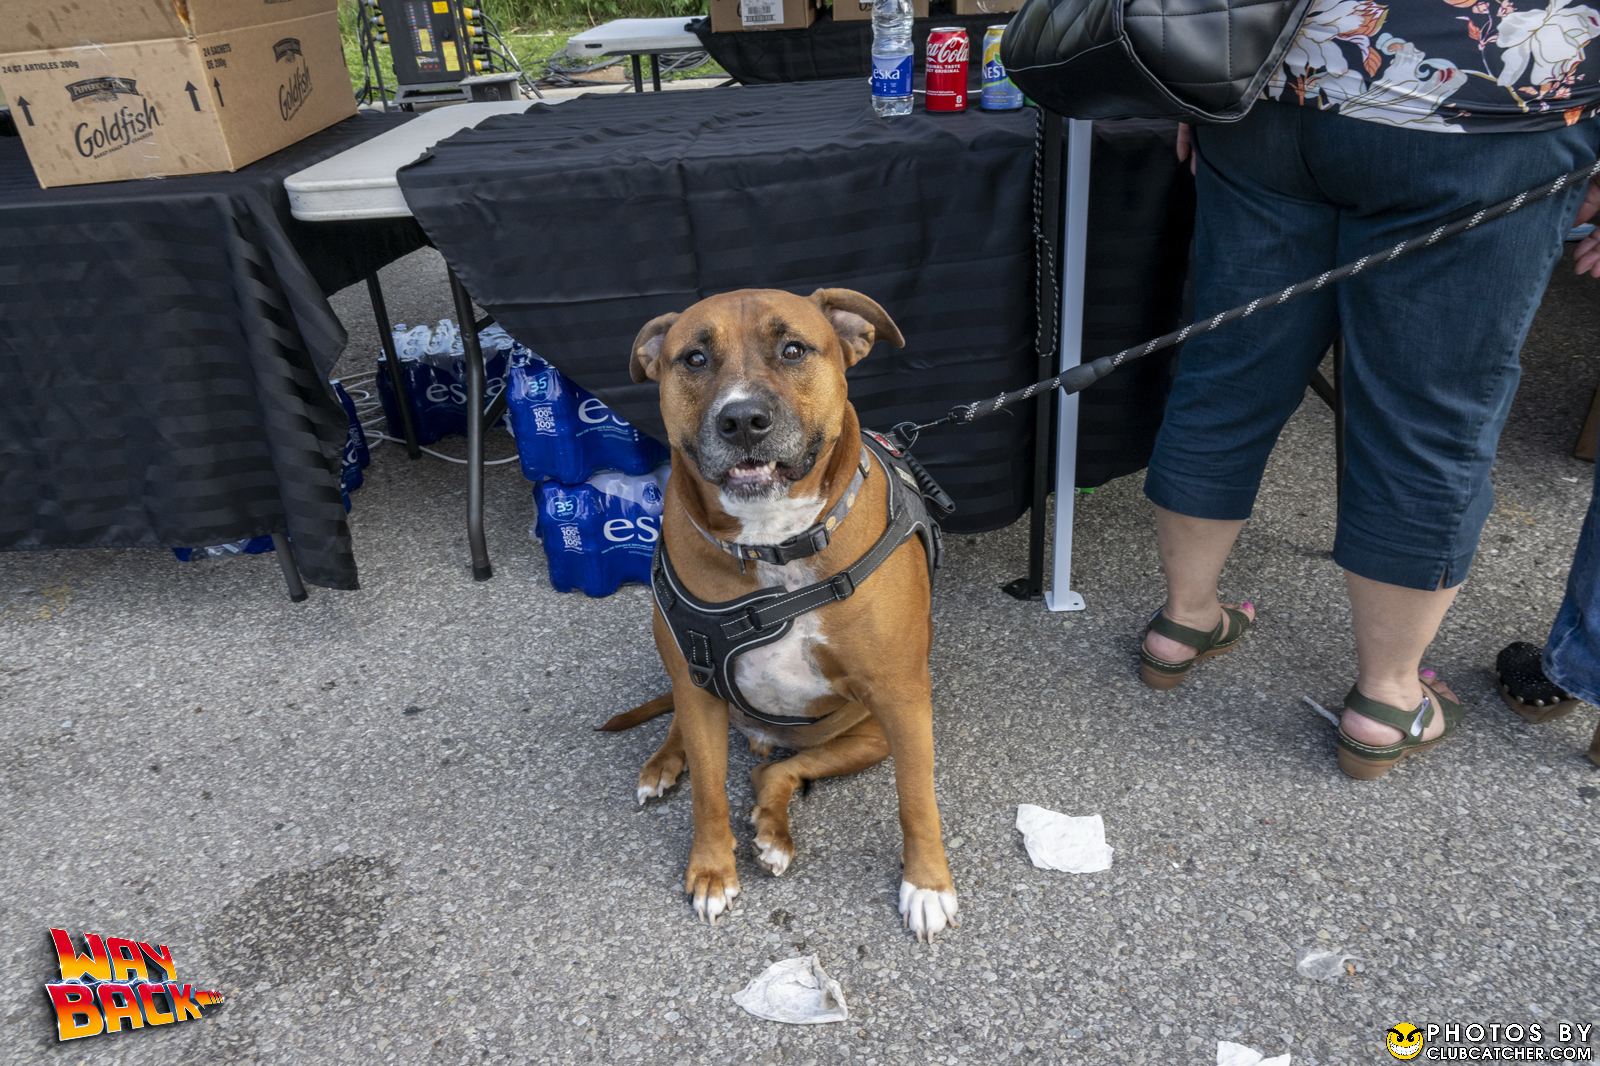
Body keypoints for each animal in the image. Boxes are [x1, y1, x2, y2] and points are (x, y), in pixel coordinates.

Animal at [608, 284, 953, 941]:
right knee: (695, 736)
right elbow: (709, 793)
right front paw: (711, 871)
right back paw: (664, 764)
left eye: (793, 349)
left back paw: (772, 830)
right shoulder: (697, 681)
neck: (773, 539)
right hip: (697, 691)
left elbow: (917, 797)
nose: (742, 419)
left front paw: (926, 884)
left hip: (869, 733)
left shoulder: (901, 699)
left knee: (773, 773)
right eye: (694, 359)